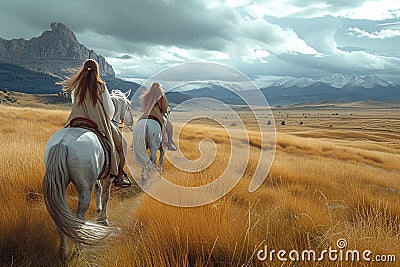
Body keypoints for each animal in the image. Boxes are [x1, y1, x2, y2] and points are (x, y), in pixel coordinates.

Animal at [44, 127, 119, 260]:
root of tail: (62, 143)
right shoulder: (109, 175)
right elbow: (106, 194)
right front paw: (103, 219)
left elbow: (98, 188)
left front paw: (98, 210)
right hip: (84, 189)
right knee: (78, 219)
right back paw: (78, 249)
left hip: (59, 187)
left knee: (61, 217)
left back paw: (63, 251)